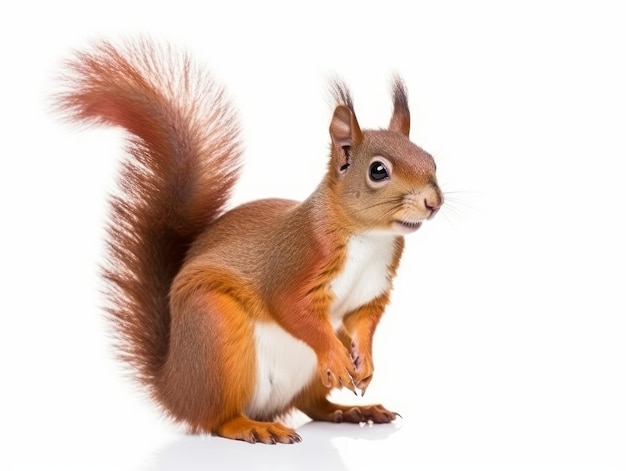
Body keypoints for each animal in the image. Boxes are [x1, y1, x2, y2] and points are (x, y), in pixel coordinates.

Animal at [54, 38, 444, 444]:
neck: (370, 239)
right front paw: (337, 357)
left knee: (314, 406)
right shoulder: (294, 262)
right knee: (218, 419)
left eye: (431, 160)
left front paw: (364, 361)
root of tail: (174, 388)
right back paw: (253, 427)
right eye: (378, 171)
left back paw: (352, 410)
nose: (434, 202)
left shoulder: (373, 289)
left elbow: (362, 320)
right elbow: (292, 309)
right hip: (216, 332)